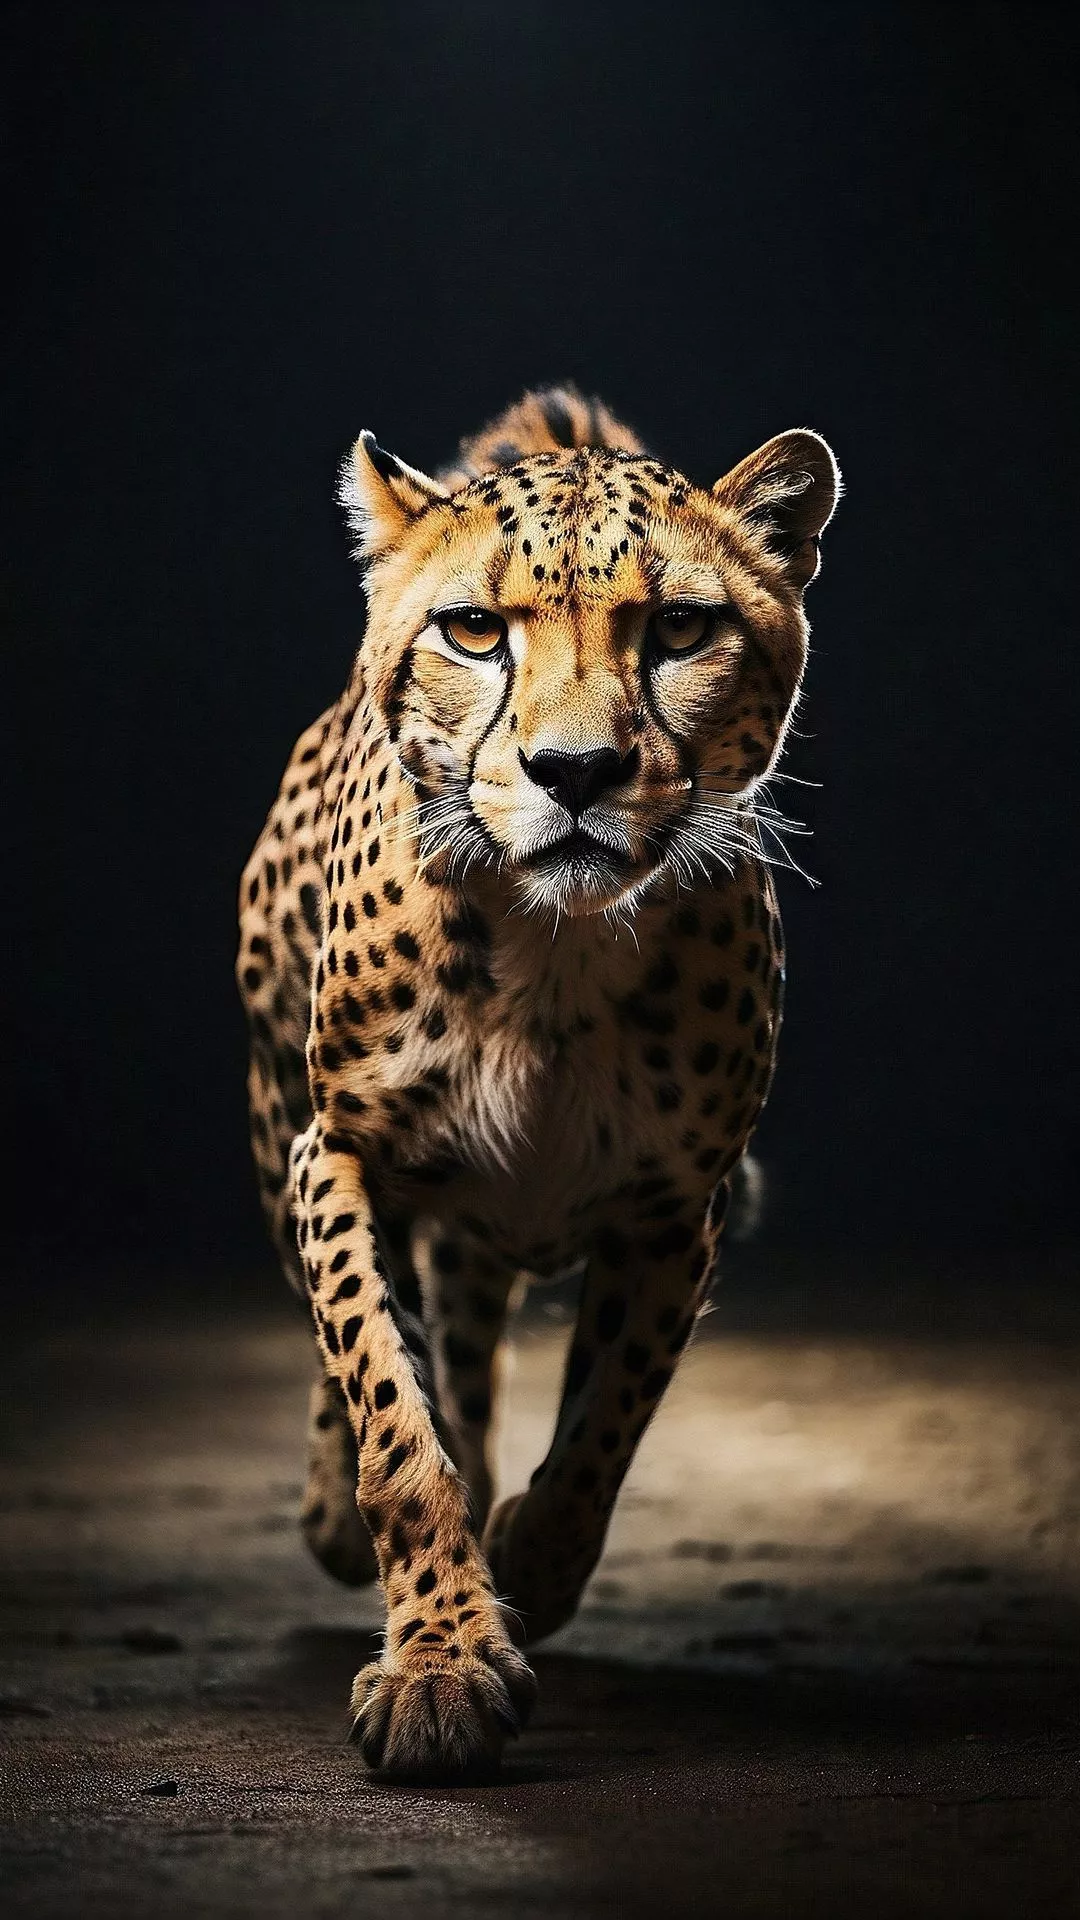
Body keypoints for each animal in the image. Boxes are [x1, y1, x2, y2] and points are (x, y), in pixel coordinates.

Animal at [237, 383, 839, 1781]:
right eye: (473, 631)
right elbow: (390, 1408)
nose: (576, 774)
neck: (551, 954)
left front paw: (529, 1565)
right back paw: (336, 1518)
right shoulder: (338, 1150)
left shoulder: (676, 1206)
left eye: (680, 627)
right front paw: (442, 1663)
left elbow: (604, 1424)